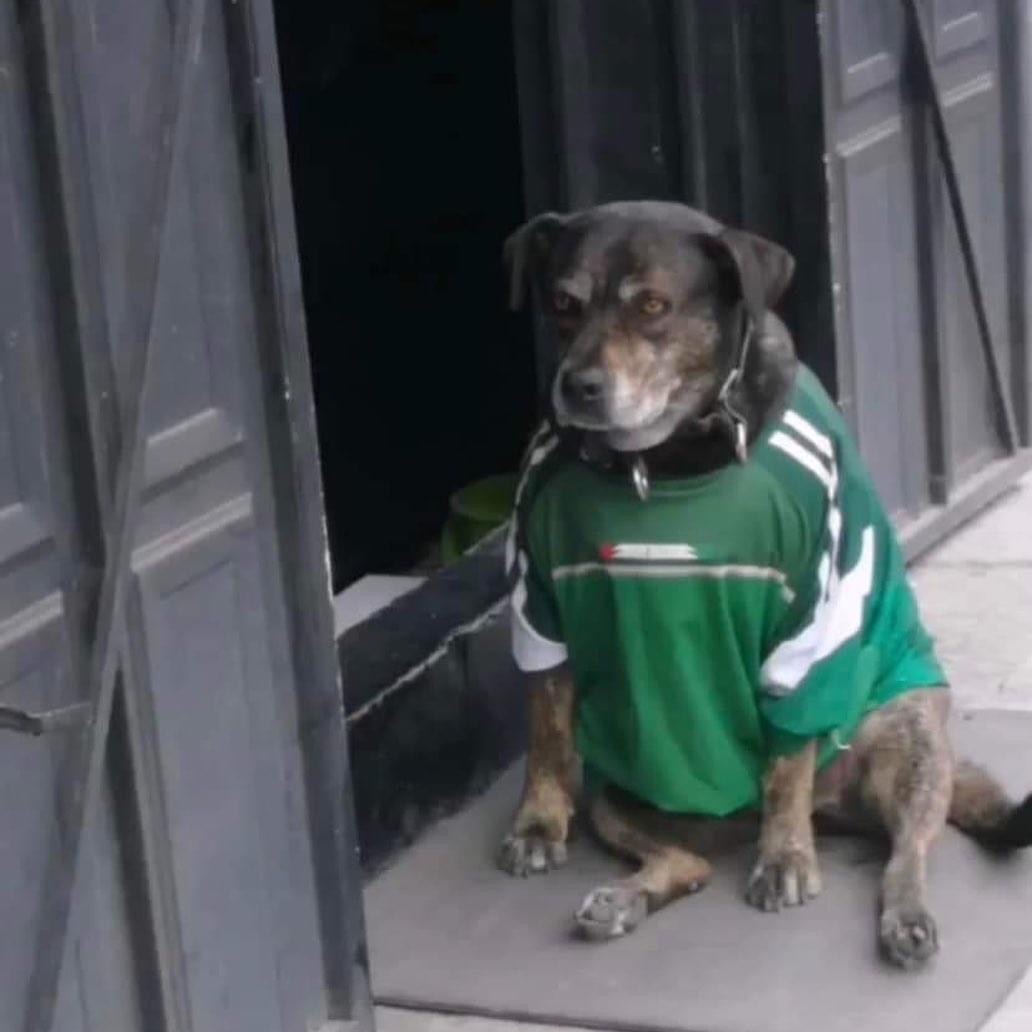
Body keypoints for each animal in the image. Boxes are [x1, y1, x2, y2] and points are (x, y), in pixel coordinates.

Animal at [497, 200, 1032, 969]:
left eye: (652, 306)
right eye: (563, 304)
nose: (578, 386)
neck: (667, 459)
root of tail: (828, 810)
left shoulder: (806, 619)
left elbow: (787, 758)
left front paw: (784, 858)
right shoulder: (540, 607)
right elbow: (544, 725)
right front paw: (538, 823)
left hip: (908, 742)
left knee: (905, 854)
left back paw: (900, 913)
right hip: (620, 790)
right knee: (687, 863)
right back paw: (621, 900)